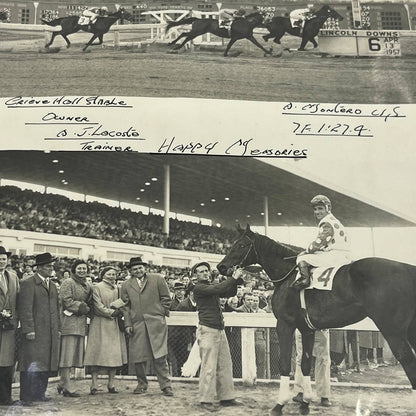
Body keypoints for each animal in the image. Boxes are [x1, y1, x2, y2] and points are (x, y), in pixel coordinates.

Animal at [218, 226, 416, 414]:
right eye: (233, 243)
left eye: (241, 245)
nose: (221, 266)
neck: (288, 276)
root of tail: (408, 268)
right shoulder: (306, 329)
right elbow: (305, 364)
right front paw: (305, 403)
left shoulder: (285, 324)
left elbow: (284, 364)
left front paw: (279, 404)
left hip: (392, 329)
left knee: (407, 359)